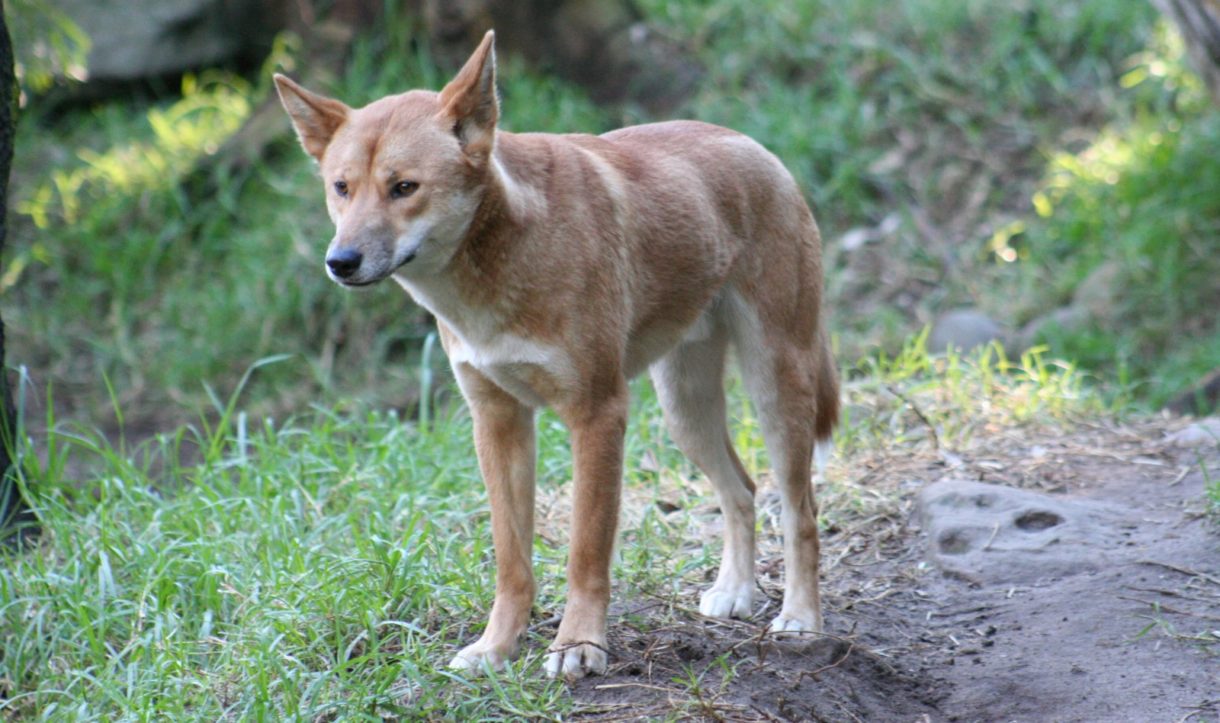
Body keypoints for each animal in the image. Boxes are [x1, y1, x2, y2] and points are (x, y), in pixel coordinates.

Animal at [275, 32, 839, 677]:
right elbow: (511, 562)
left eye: (404, 187)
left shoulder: (597, 415)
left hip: (775, 385)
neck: (501, 265)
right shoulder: (497, 422)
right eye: (342, 188)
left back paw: (800, 617)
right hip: (685, 409)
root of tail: (757, 146)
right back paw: (736, 592)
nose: (340, 262)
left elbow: (585, 553)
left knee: (799, 511)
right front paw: (496, 648)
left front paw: (578, 646)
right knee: (741, 492)